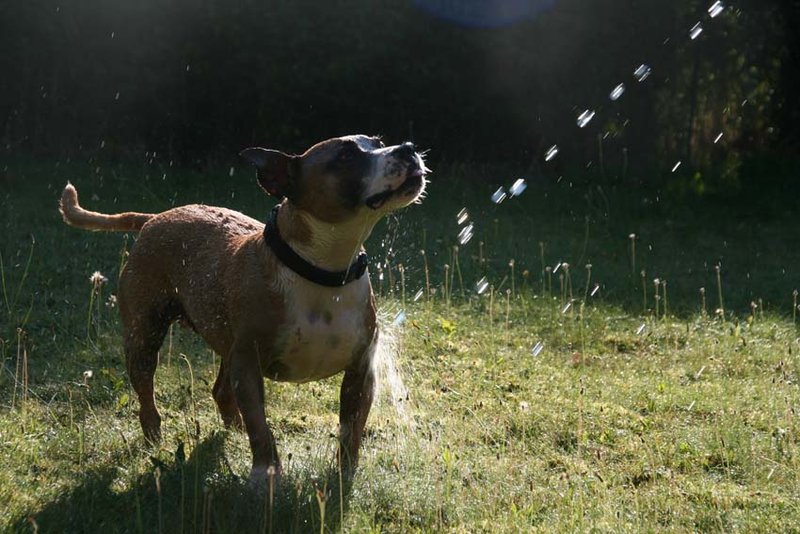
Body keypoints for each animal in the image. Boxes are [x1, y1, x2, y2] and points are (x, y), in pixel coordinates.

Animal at [59, 135, 428, 486]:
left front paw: (344, 476)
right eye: (346, 156)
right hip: (144, 337)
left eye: (379, 144)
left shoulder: (361, 371)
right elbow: (261, 428)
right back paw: (153, 437)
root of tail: (156, 217)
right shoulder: (249, 365)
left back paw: (232, 429)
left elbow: (351, 431)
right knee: (147, 393)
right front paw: (265, 475)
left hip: (226, 344)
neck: (321, 270)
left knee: (221, 390)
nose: (408, 148)